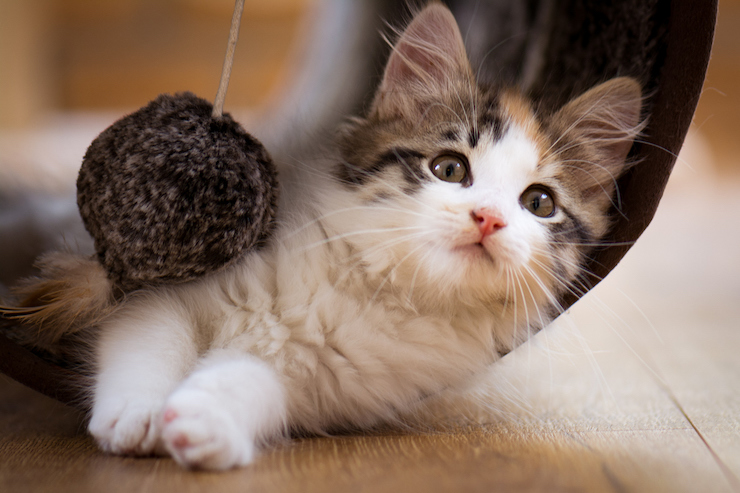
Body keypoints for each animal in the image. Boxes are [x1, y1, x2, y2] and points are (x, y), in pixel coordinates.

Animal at [5, 2, 640, 468]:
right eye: (450, 168)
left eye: (539, 204)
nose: (488, 218)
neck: (378, 288)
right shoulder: (161, 294)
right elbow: (148, 338)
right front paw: (136, 413)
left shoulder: (321, 388)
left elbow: (250, 379)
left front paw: (204, 421)